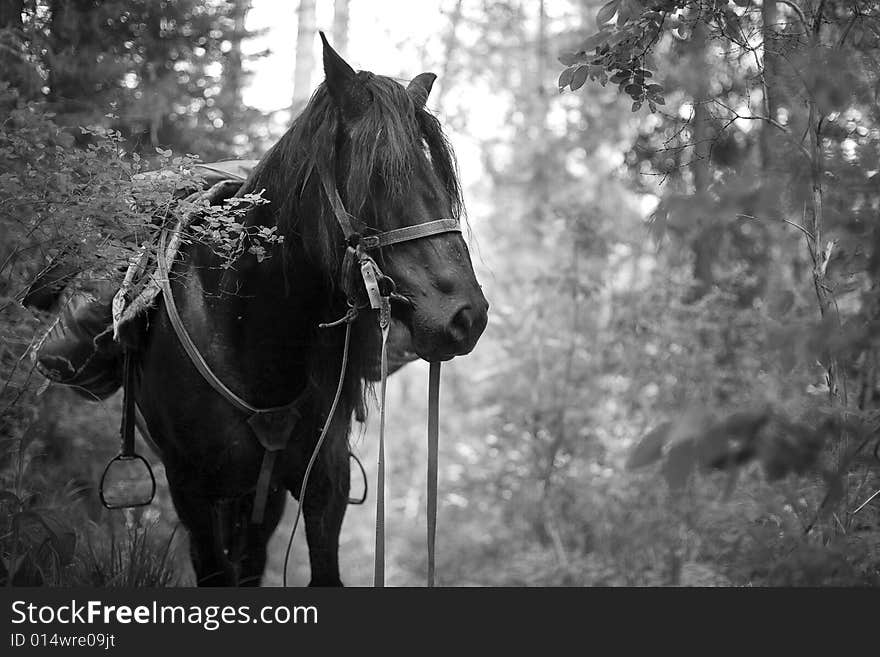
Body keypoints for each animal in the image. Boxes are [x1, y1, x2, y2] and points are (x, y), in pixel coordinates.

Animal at [136, 36, 488, 588]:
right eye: (379, 176)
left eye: (438, 175)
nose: (466, 316)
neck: (251, 331)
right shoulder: (191, 490)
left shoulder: (325, 484)